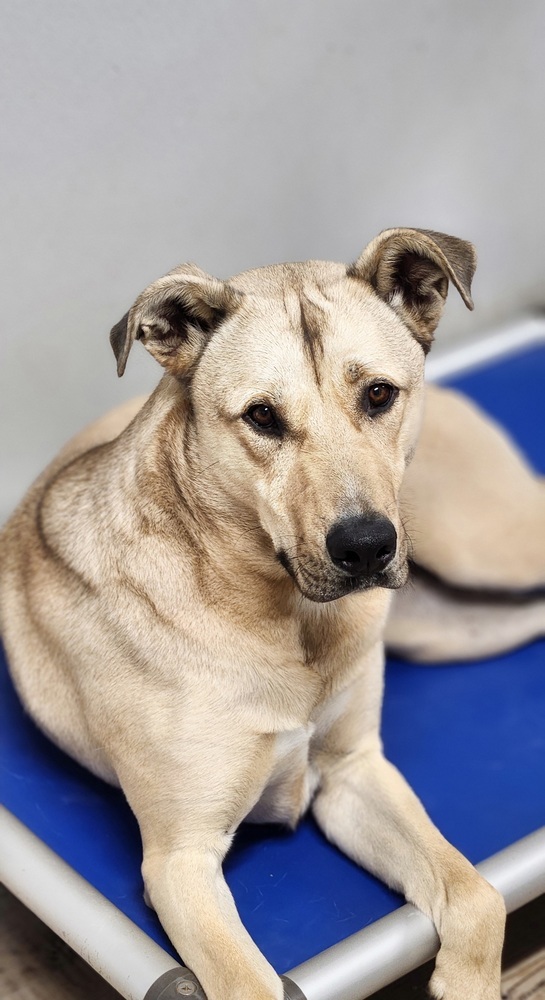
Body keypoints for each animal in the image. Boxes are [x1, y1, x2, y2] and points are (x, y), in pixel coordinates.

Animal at [1, 230, 544, 1000]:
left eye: (378, 394)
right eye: (262, 416)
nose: (365, 546)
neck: (287, 620)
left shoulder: (354, 771)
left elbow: (475, 894)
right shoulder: (182, 861)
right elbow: (254, 983)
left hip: (486, 546)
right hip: (452, 623)